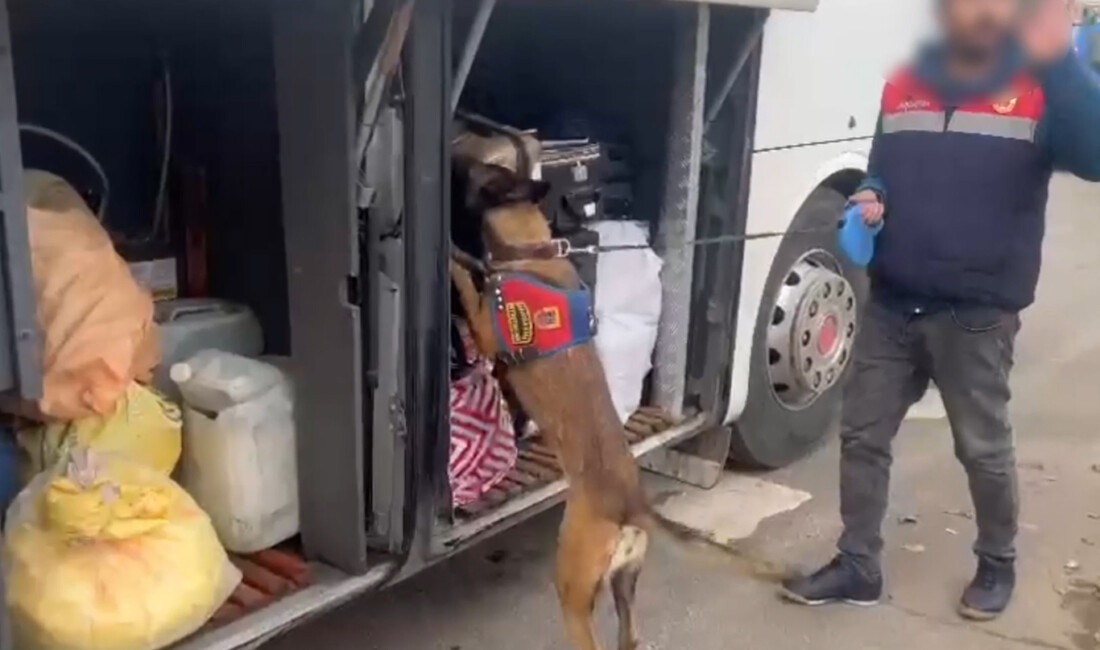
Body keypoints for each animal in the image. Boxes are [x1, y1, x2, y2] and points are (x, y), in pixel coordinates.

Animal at [451, 157, 655, 650]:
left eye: (477, 170)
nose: (453, 156)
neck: (533, 251)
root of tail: (628, 507)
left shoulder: (484, 330)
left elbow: (466, 283)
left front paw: (453, 256)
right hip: (624, 587)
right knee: (630, 636)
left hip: (572, 591)